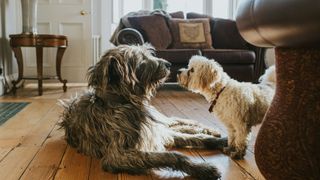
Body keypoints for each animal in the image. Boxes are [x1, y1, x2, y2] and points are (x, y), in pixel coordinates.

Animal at [59, 44, 228, 179]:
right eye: (141, 60)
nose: (168, 64)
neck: (124, 103)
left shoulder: (156, 132)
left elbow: (196, 138)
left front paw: (220, 141)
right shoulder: (118, 155)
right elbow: (173, 155)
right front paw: (201, 168)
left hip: (160, 120)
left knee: (175, 122)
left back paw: (206, 129)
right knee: (174, 125)